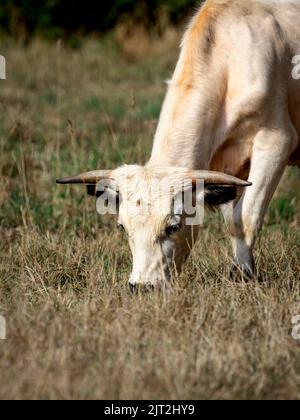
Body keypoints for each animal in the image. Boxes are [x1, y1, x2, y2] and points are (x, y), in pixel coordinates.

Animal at [56, 0, 300, 288]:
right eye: (122, 227)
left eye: (173, 226)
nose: (142, 287)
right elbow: (232, 217)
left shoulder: (275, 142)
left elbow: (245, 217)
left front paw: (243, 274)